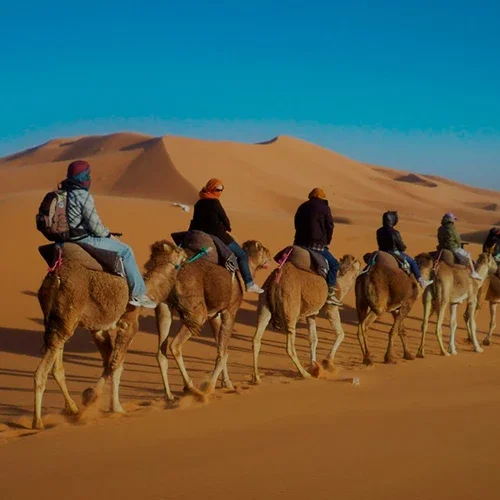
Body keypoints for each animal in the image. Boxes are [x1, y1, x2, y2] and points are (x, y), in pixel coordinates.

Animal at [33, 240, 187, 428]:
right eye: (178, 250)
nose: (186, 253)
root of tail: (55, 279)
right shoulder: (129, 324)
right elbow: (117, 365)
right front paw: (117, 408)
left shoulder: (99, 329)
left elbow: (109, 364)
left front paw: (90, 395)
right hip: (68, 314)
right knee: (42, 371)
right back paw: (38, 422)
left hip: (57, 321)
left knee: (57, 365)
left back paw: (73, 409)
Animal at [252, 254, 362, 382]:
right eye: (358, 263)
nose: (363, 269)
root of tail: (275, 282)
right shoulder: (331, 308)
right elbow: (341, 333)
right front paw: (327, 361)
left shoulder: (311, 314)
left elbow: (313, 339)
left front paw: (314, 367)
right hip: (290, 310)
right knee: (289, 347)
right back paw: (304, 374)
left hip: (264, 304)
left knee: (256, 340)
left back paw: (256, 378)